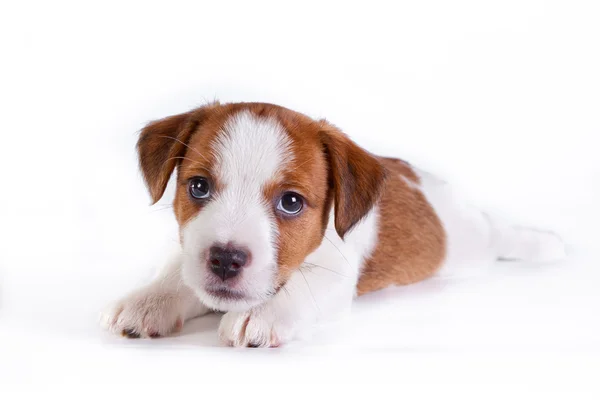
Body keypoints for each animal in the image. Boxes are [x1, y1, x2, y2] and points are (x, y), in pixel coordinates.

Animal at [101, 101, 564, 346]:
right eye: (198, 187)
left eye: (291, 202)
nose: (226, 259)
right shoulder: (186, 252)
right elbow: (175, 272)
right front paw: (149, 300)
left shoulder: (337, 271)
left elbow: (303, 286)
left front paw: (262, 313)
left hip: (476, 242)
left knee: (503, 235)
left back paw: (542, 243)